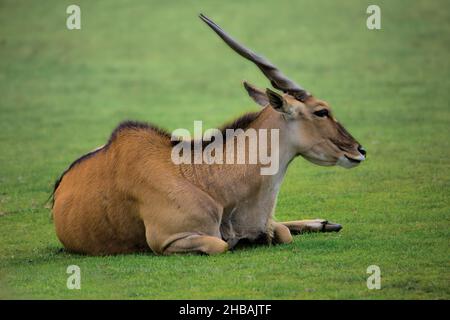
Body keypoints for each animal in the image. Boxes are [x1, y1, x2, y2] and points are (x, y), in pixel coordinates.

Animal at [51, 14, 366, 255]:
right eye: (322, 111)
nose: (359, 150)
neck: (208, 179)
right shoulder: (168, 242)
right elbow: (224, 244)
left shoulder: (264, 224)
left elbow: (280, 232)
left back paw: (323, 223)